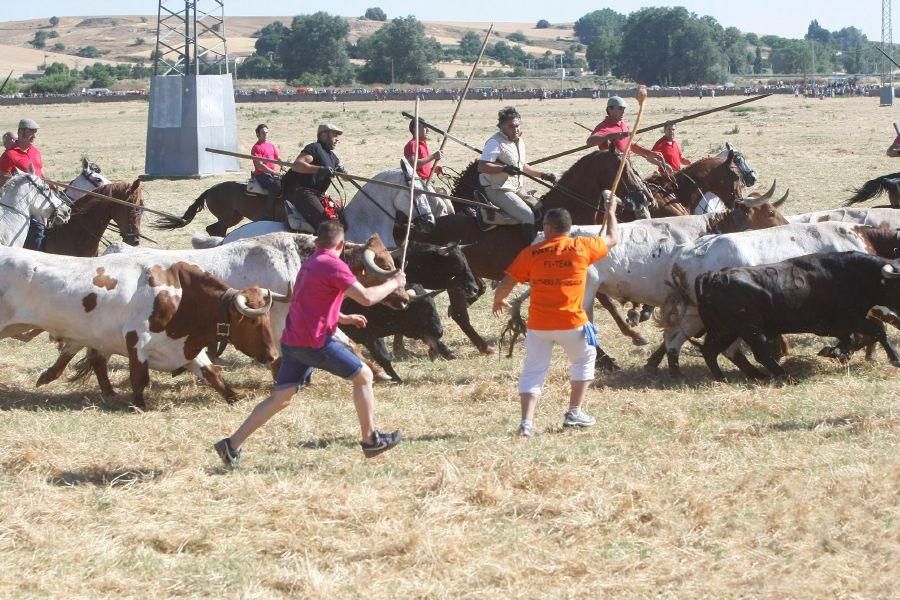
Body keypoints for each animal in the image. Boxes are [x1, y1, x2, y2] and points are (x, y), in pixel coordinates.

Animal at [700, 251, 900, 378]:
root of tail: (715, 276)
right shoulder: (849, 318)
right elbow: (878, 332)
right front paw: (895, 359)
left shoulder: (837, 325)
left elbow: (851, 338)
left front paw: (832, 351)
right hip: (751, 330)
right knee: (761, 355)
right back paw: (786, 377)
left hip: (724, 331)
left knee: (709, 351)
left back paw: (722, 379)